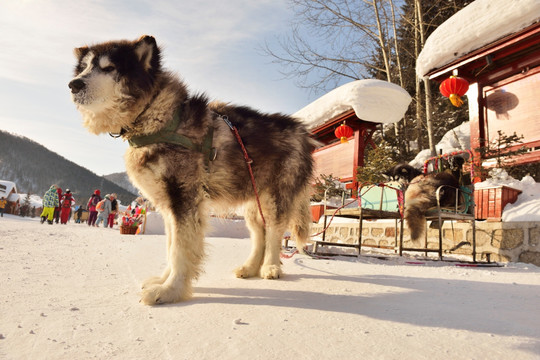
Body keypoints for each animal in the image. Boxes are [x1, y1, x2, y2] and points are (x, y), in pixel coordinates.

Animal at [70, 35, 318, 304]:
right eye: (83, 67)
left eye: (109, 67)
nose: (74, 84)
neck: (161, 118)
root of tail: (302, 132)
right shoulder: (169, 205)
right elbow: (171, 246)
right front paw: (163, 280)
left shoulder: (184, 198)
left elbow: (180, 249)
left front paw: (170, 291)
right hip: (253, 202)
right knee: (259, 233)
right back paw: (250, 267)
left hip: (274, 198)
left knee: (273, 232)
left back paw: (270, 267)